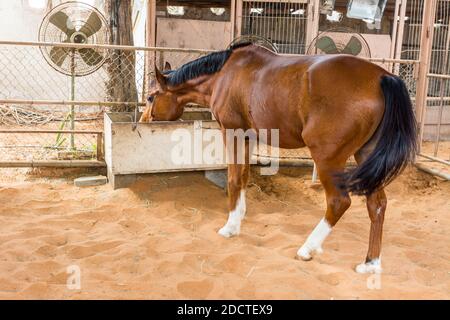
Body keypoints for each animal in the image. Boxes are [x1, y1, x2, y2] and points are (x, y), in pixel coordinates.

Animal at [139, 42, 416, 272]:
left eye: (151, 97)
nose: (142, 122)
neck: (225, 74)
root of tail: (382, 77)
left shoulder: (232, 133)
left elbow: (233, 179)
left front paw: (230, 227)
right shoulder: (248, 137)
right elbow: (243, 177)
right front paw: (238, 219)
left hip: (328, 159)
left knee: (339, 202)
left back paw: (307, 249)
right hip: (366, 157)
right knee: (377, 205)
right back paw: (370, 263)